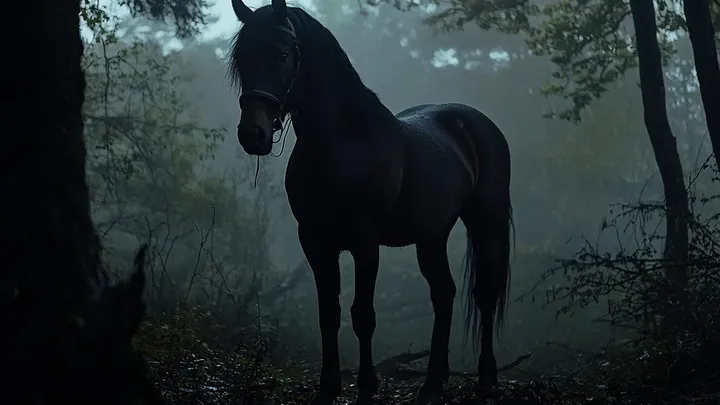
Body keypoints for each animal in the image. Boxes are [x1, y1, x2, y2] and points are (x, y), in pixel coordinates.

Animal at [228, 1, 513, 404]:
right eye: (241, 59)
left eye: (282, 55)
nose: (253, 134)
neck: (343, 145)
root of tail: (476, 122)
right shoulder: (314, 241)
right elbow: (328, 313)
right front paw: (328, 388)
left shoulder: (365, 243)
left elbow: (362, 315)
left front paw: (365, 387)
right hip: (432, 235)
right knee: (443, 294)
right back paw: (431, 384)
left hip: (485, 220)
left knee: (484, 294)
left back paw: (486, 379)